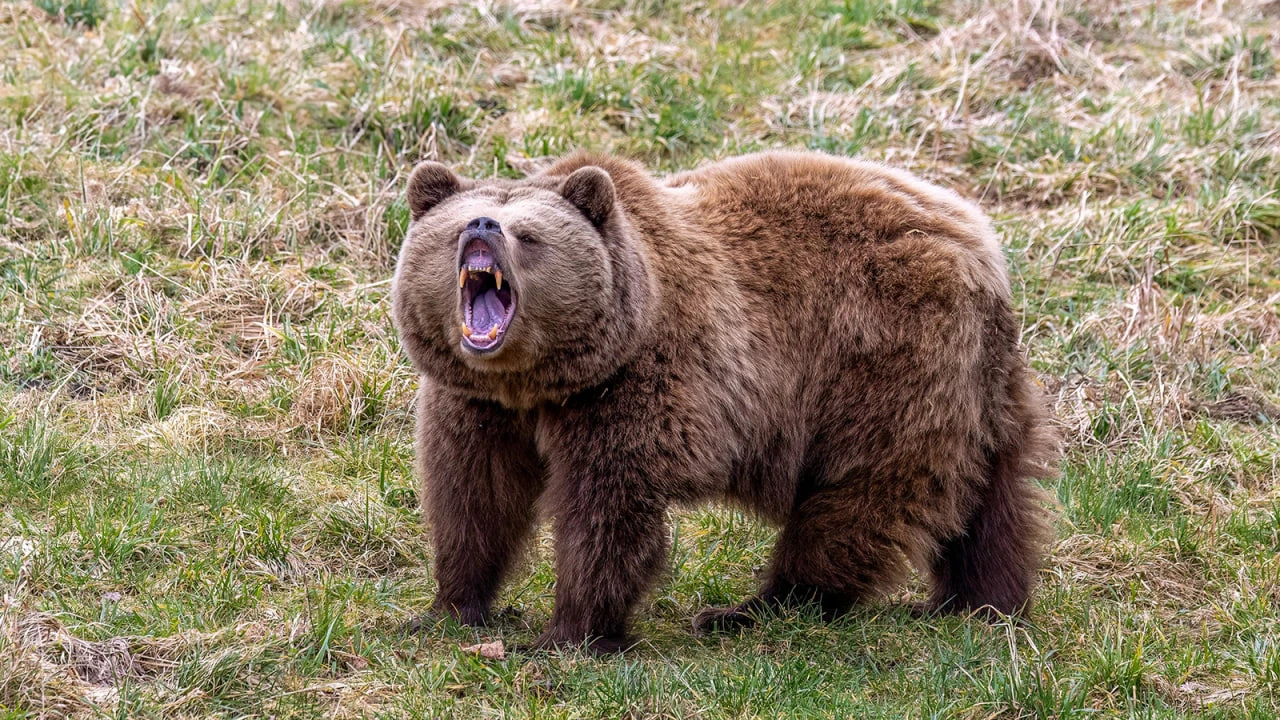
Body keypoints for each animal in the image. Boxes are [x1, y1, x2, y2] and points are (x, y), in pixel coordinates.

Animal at [390, 150, 1058, 653]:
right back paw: (980, 603)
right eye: (458, 224)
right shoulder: (478, 404)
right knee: (993, 498)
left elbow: (605, 508)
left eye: (528, 234)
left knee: (864, 489)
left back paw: (757, 608)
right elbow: (475, 496)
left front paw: (569, 633)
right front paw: (450, 607)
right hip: (981, 387)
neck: (536, 381)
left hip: (883, 353)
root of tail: (980, 241)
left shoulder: (635, 388)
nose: (483, 227)